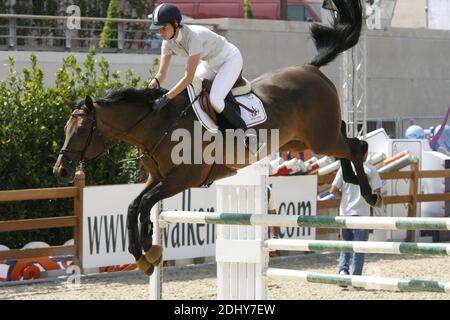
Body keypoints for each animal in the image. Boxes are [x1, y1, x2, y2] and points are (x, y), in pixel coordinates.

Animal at [54, 0, 382, 276]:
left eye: (81, 131)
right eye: (66, 130)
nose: (61, 171)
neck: (158, 125)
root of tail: (310, 68)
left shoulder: (181, 179)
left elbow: (144, 203)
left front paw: (148, 247)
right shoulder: (157, 178)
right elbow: (134, 206)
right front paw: (144, 254)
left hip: (319, 139)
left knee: (357, 146)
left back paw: (369, 193)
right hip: (301, 141)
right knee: (346, 137)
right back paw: (352, 179)